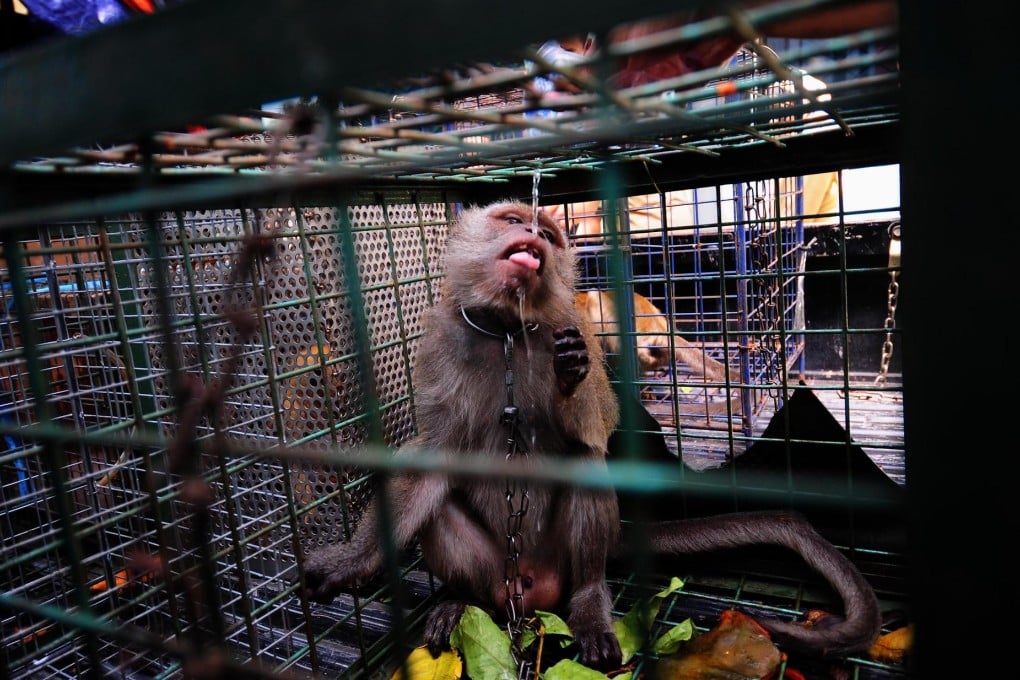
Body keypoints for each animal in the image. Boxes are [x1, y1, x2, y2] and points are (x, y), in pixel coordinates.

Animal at [301, 201, 881, 670]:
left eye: (547, 234)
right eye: (512, 220)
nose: (533, 232)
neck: (507, 334)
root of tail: (527, 591)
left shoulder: (574, 327)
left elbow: (599, 428)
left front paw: (569, 378)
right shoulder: (443, 346)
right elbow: (434, 457)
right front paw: (354, 561)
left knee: (585, 466)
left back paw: (587, 607)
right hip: (498, 574)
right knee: (447, 515)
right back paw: (462, 601)